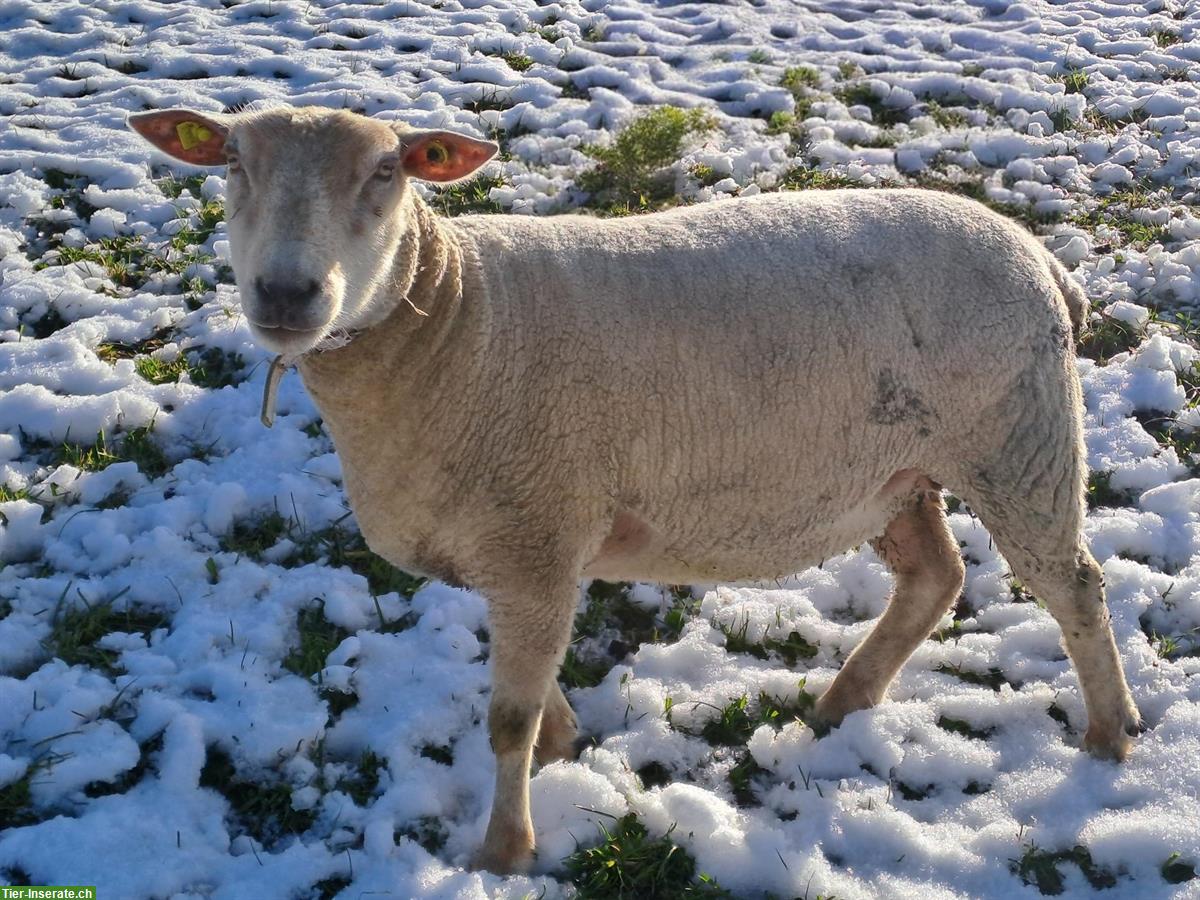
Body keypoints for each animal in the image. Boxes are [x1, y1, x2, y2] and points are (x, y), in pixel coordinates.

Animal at [129, 105, 1141, 875]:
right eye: (232, 162)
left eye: (388, 172)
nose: (287, 294)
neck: (452, 321)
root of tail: (1043, 261)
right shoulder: (517, 549)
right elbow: (528, 690)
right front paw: (563, 746)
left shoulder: (535, 535)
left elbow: (505, 719)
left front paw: (504, 852)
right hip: (897, 469)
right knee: (935, 577)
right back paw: (845, 701)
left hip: (1020, 437)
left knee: (1074, 586)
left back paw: (1110, 734)